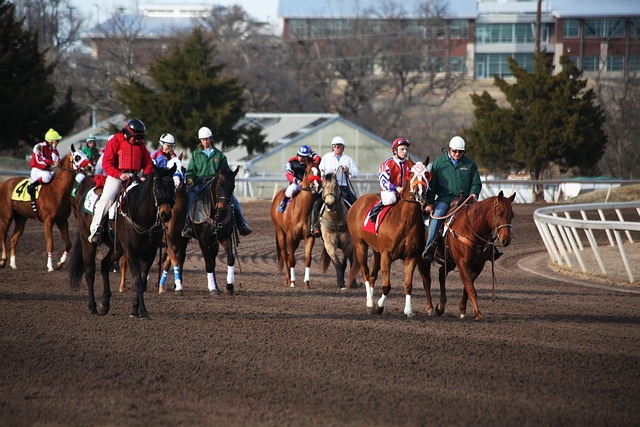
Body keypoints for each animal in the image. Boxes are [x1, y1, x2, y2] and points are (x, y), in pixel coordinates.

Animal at [69, 164, 176, 317]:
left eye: (173, 186)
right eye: (157, 186)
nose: (165, 214)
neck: (141, 215)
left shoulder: (150, 253)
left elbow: (142, 280)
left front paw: (135, 309)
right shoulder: (131, 252)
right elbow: (138, 281)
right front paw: (143, 311)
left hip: (117, 249)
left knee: (104, 264)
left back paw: (105, 304)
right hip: (88, 242)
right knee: (90, 272)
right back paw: (93, 307)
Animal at [189, 166, 239, 295]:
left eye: (233, 186)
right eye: (220, 185)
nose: (222, 208)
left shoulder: (225, 237)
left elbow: (230, 259)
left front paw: (229, 286)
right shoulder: (202, 239)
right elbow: (209, 263)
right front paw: (212, 288)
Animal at [270, 158, 322, 288]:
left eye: (319, 172)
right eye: (308, 172)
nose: (316, 186)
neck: (302, 210)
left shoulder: (309, 237)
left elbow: (307, 260)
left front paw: (307, 283)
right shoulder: (290, 237)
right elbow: (292, 259)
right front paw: (293, 282)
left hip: (297, 240)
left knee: (288, 255)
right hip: (280, 232)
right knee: (285, 255)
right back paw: (288, 279)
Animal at [346, 157, 434, 317]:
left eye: (426, 174)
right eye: (412, 173)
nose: (419, 191)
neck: (404, 221)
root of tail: (358, 202)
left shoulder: (411, 256)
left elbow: (408, 284)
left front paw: (408, 310)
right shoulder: (386, 254)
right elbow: (386, 285)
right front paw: (379, 306)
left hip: (376, 251)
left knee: (372, 275)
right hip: (360, 244)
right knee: (365, 272)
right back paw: (370, 303)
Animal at [427, 191, 515, 320]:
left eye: (512, 215)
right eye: (500, 212)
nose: (506, 240)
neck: (471, 229)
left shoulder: (478, 266)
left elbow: (467, 287)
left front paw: (463, 309)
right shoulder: (462, 263)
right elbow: (471, 288)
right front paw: (478, 313)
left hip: (450, 261)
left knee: (441, 273)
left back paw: (441, 306)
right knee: (426, 280)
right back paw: (430, 308)